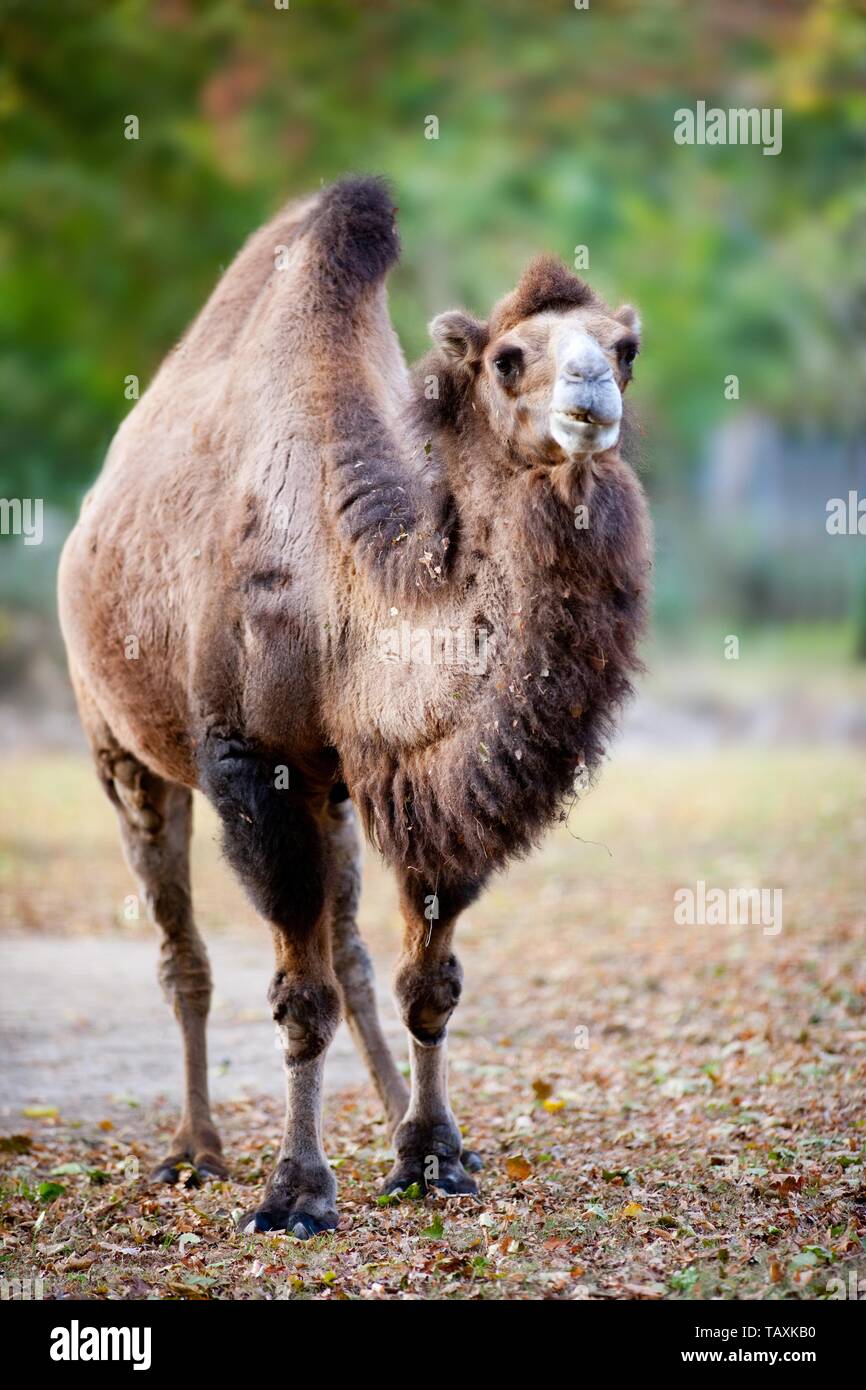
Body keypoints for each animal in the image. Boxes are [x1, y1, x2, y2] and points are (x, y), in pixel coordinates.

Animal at [57, 176, 650, 1239]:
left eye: (624, 348)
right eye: (508, 358)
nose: (593, 397)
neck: (341, 586)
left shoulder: (415, 775)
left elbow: (428, 979)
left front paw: (434, 1157)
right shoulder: (248, 760)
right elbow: (300, 996)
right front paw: (295, 1193)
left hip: (330, 788)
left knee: (354, 954)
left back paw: (387, 1113)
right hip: (117, 745)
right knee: (184, 950)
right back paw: (195, 1151)